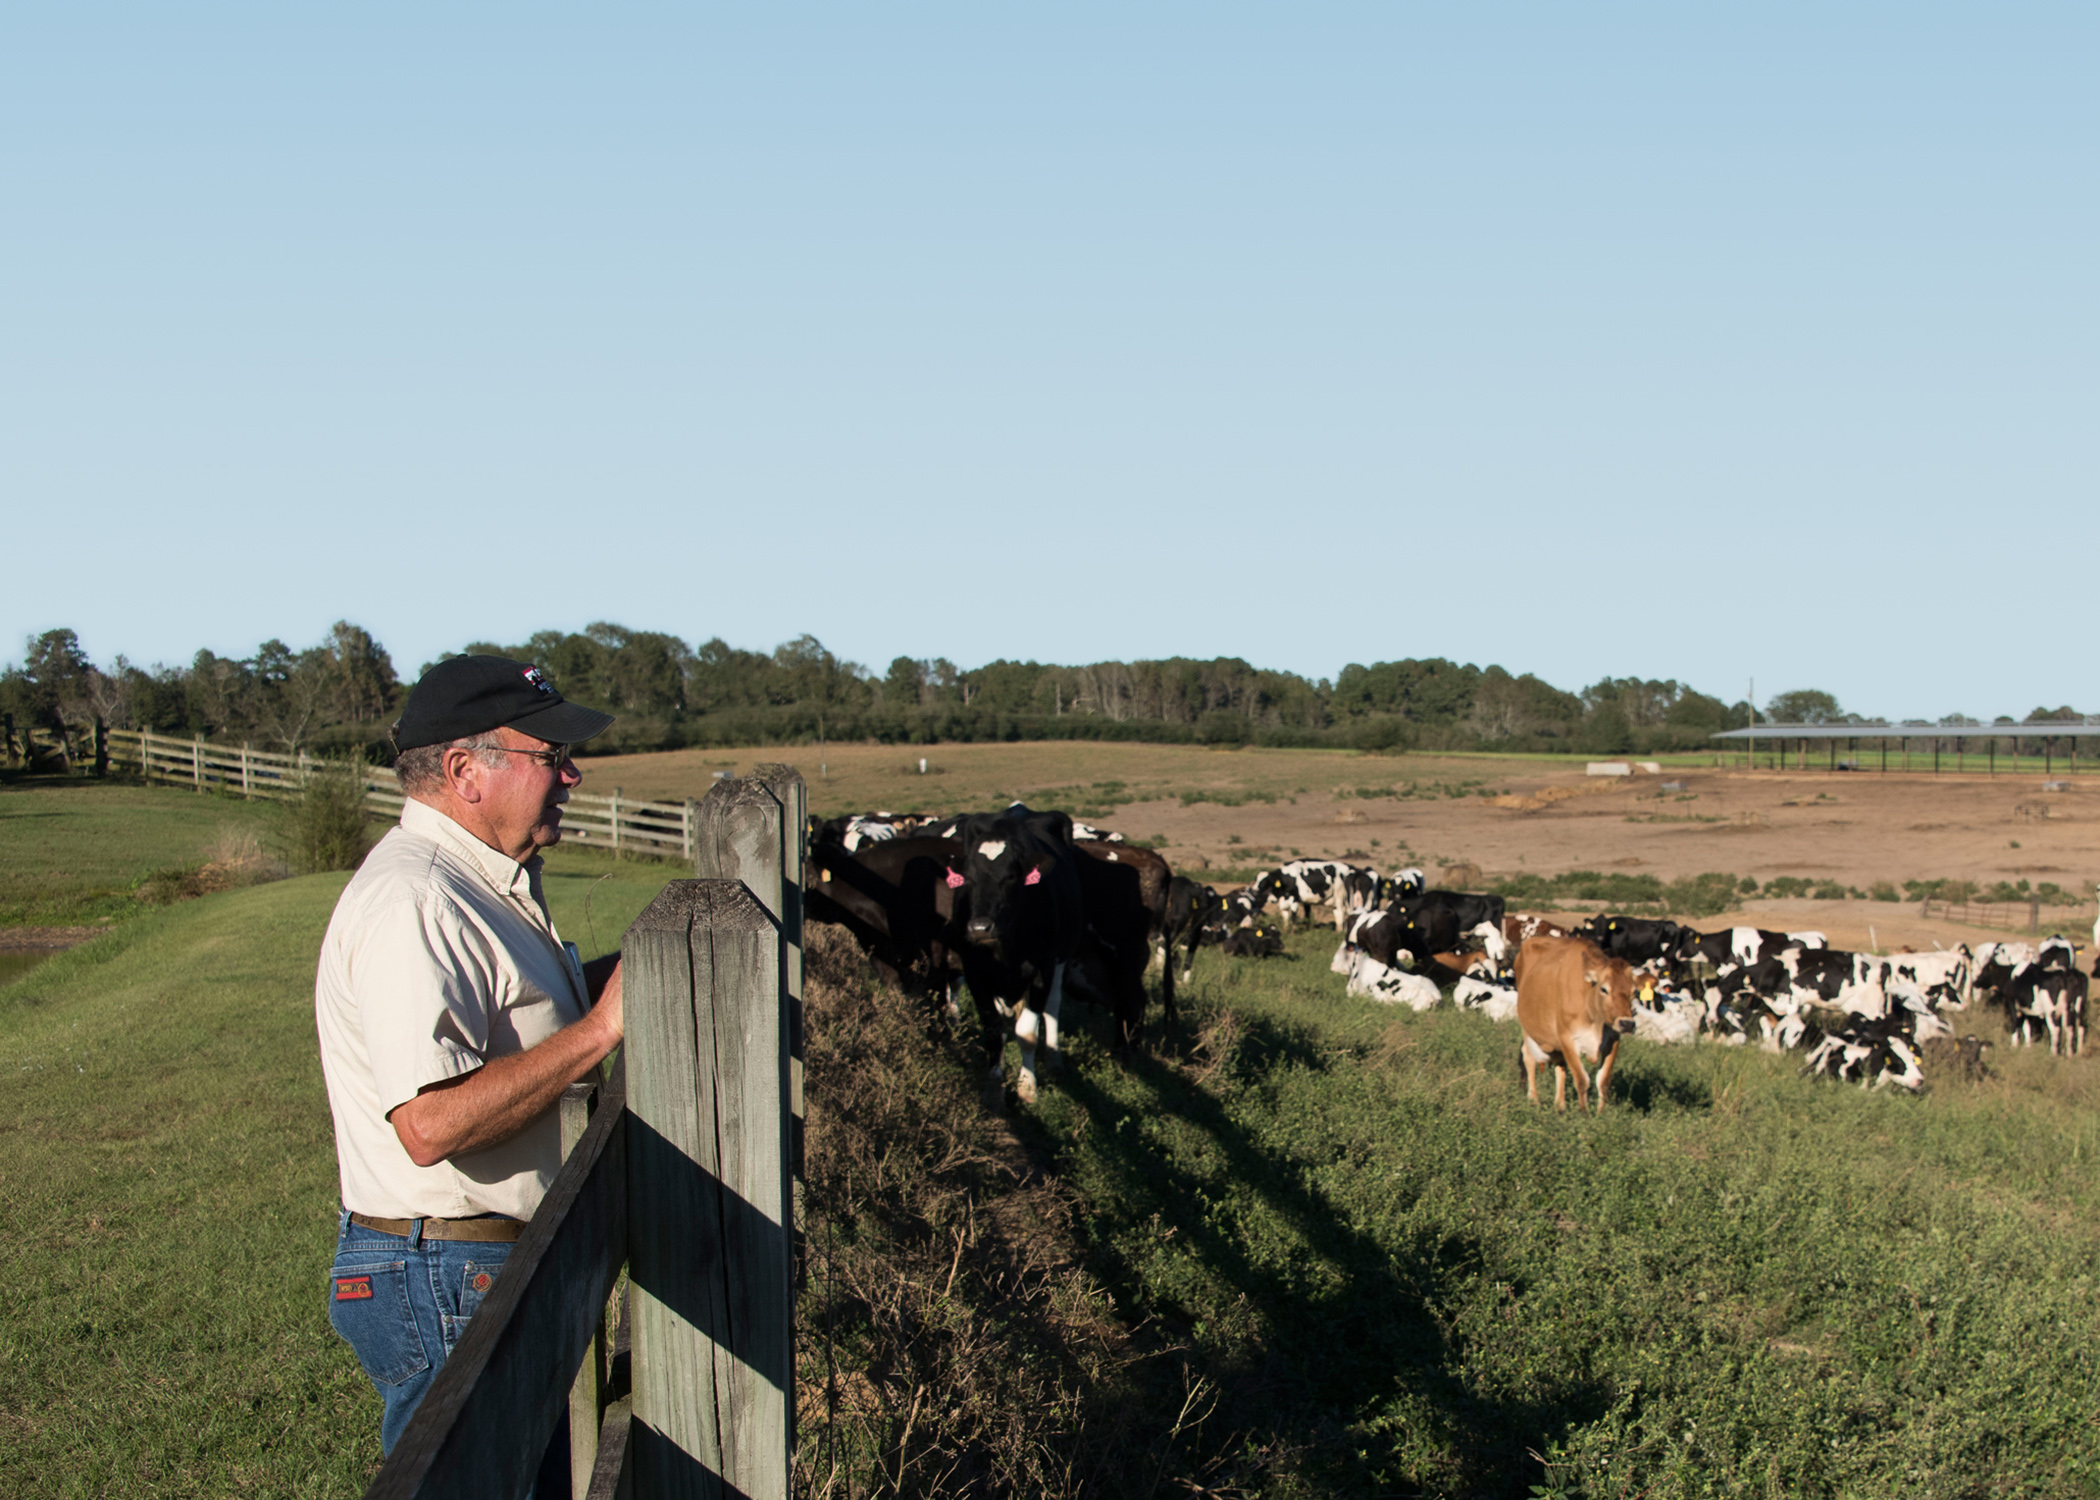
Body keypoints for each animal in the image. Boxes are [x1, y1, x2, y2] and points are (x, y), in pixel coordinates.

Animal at [1520, 932, 1646, 1109]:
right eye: (1604, 989)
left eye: (1634, 992)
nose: (1627, 1024)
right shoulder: (1568, 1039)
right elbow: (1581, 1080)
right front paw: (1583, 1112)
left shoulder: (1613, 1041)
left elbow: (1603, 1080)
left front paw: (1601, 1112)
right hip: (1528, 1029)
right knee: (1529, 1058)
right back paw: (1534, 1099)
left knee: (1560, 1065)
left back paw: (1560, 1105)